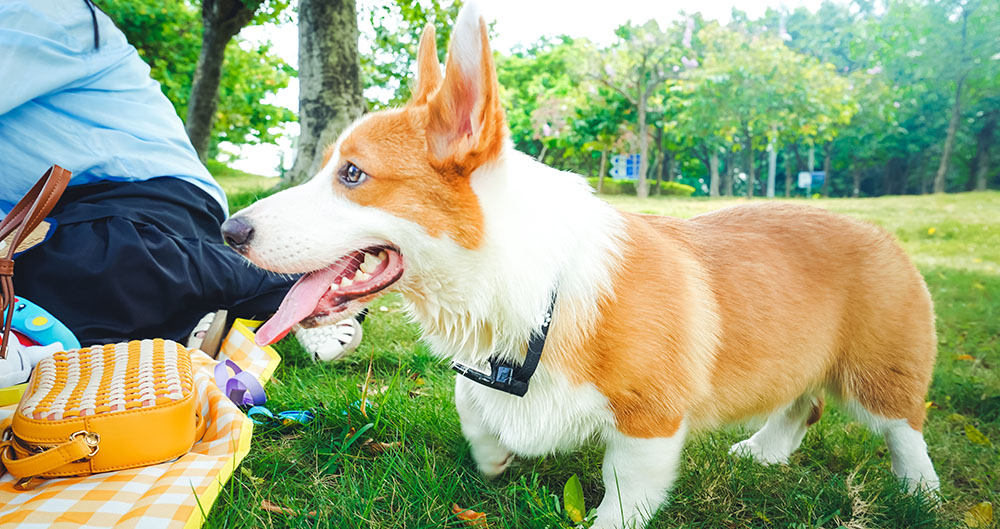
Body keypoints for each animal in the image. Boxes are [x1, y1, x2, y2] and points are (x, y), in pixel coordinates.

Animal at [219, 5, 936, 528]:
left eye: (352, 174)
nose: (229, 230)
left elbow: (626, 493)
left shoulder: (650, 419)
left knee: (901, 429)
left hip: (880, 373)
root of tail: (883, 233)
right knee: (800, 404)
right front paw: (496, 460)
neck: (530, 286)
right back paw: (762, 452)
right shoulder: (485, 373)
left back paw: (921, 495)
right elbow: (474, 412)